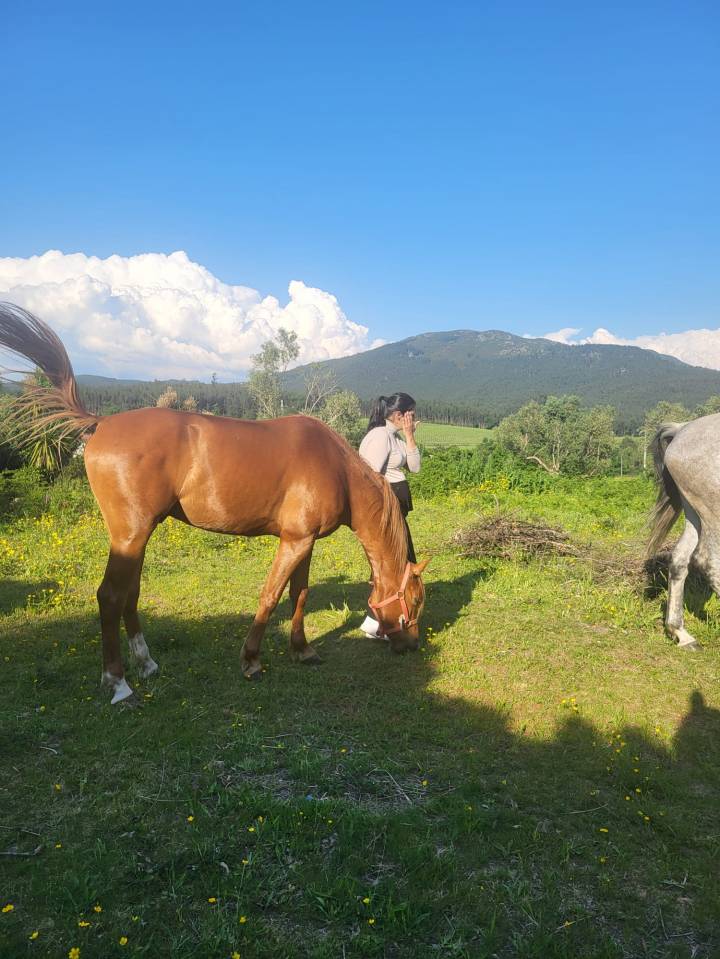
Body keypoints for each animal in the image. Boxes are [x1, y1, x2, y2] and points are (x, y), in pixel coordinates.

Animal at [0, 303, 428, 703]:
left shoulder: (304, 542)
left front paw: (302, 650)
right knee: (110, 596)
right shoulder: (293, 542)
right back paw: (119, 684)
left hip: (136, 537)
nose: (411, 646)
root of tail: (101, 423)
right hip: (129, 536)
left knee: (130, 595)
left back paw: (146, 663)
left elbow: (299, 595)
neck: (336, 466)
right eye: (415, 600)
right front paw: (251, 660)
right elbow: (270, 594)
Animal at [648, 415, 720, 650]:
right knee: (708, 560)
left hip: (694, 513)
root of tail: (682, 429)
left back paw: (680, 633)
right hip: (713, 511)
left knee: (680, 558)